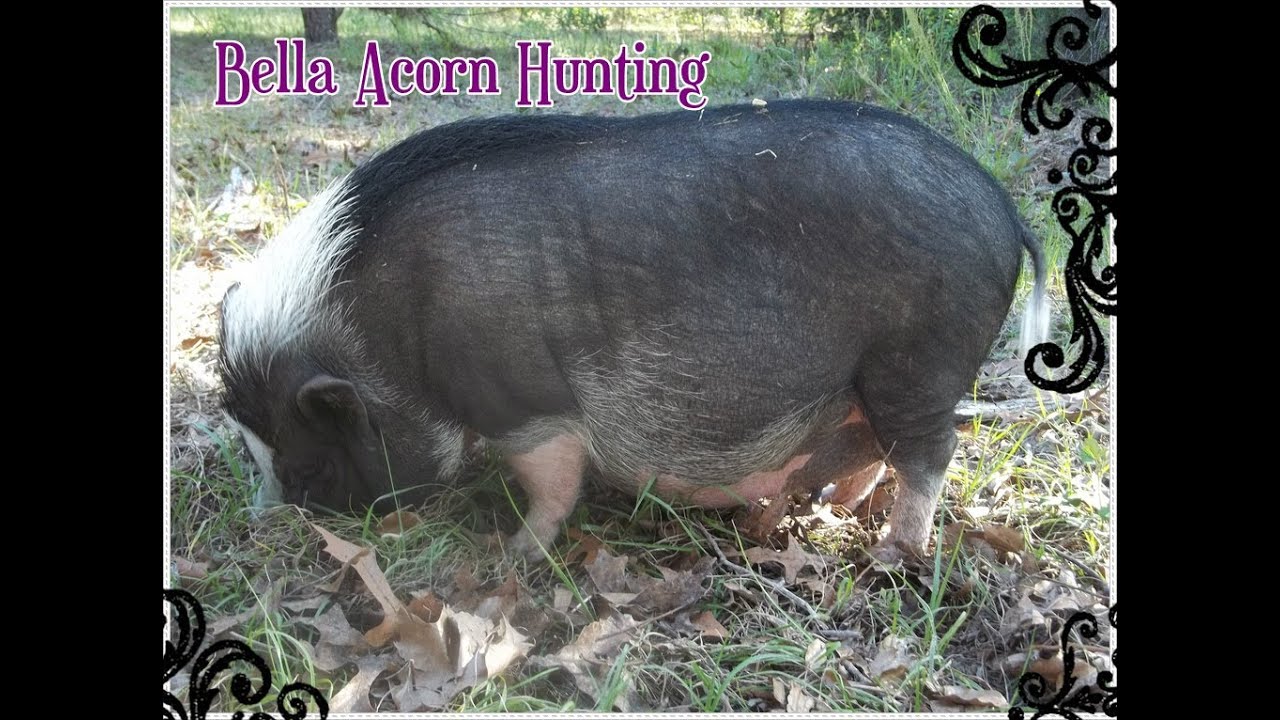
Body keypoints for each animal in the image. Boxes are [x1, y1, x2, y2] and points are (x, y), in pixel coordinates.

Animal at [218, 99, 1048, 560]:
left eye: (310, 468)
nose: (264, 530)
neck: (383, 331)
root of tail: (1005, 210)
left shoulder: (524, 399)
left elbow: (551, 481)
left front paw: (514, 552)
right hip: (884, 379)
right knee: (878, 445)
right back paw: (831, 508)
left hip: (920, 359)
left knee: (930, 453)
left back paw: (890, 554)